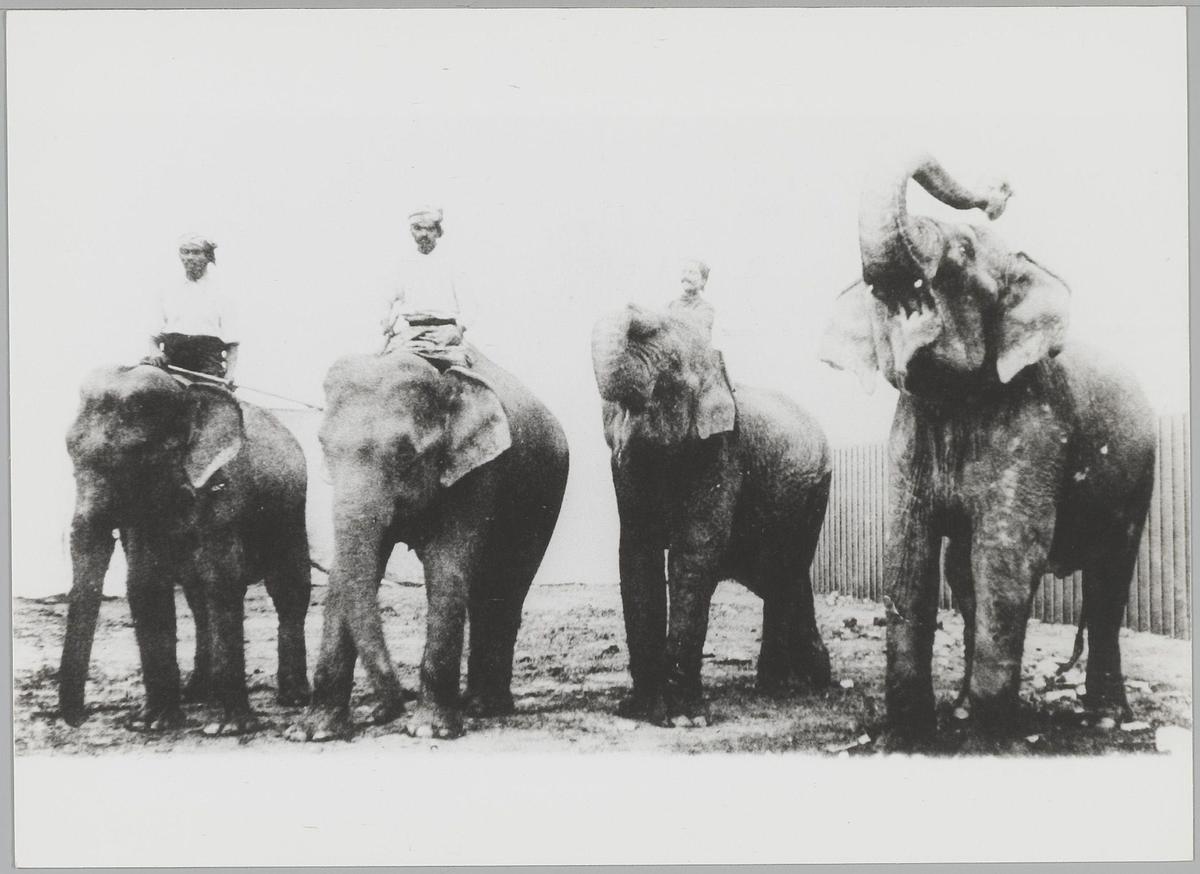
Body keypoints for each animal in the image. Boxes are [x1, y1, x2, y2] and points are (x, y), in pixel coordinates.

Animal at [59, 365, 311, 734]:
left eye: (138, 454)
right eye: (69, 451)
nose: (80, 719)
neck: (185, 391)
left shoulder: (224, 493)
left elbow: (223, 582)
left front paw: (233, 728)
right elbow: (145, 585)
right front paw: (151, 724)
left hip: (291, 510)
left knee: (289, 589)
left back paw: (294, 698)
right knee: (198, 601)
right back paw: (198, 694)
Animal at [284, 347, 569, 742]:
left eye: (406, 454)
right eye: (324, 447)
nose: (383, 712)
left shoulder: (479, 471)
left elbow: (446, 567)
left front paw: (428, 730)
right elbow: (348, 574)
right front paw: (312, 732)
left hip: (545, 497)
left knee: (505, 589)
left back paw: (486, 706)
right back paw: (473, 704)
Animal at [591, 305, 833, 727]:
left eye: (671, 366)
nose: (634, 307)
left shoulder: (722, 451)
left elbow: (695, 551)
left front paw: (684, 717)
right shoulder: (625, 461)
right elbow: (637, 550)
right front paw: (640, 710)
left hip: (814, 492)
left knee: (785, 570)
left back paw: (784, 686)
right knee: (780, 575)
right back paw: (806, 678)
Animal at [820, 153, 1156, 750]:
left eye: (963, 252)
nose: (999, 193)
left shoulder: (1034, 427)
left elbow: (1005, 557)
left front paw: (988, 743)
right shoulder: (909, 433)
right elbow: (909, 554)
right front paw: (907, 740)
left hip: (1138, 477)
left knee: (1109, 579)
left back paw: (1106, 718)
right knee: (963, 572)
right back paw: (960, 711)